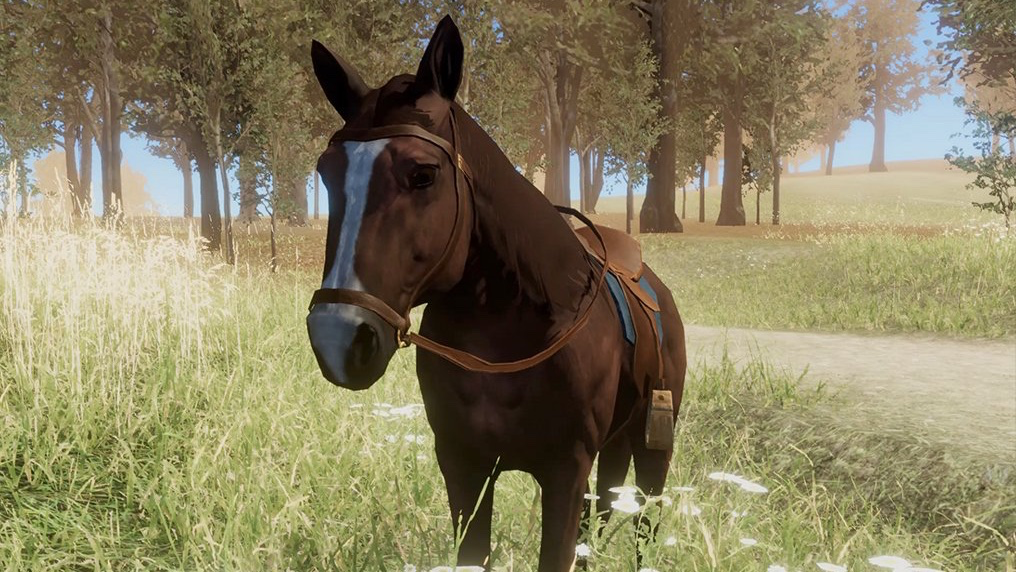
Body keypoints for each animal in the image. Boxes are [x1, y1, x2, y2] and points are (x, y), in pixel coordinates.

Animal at [305, 16, 686, 571]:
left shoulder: (565, 471)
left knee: (644, 524)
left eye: (423, 174)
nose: (337, 337)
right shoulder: (463, 465)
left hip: (653, 444)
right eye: (326, 173)